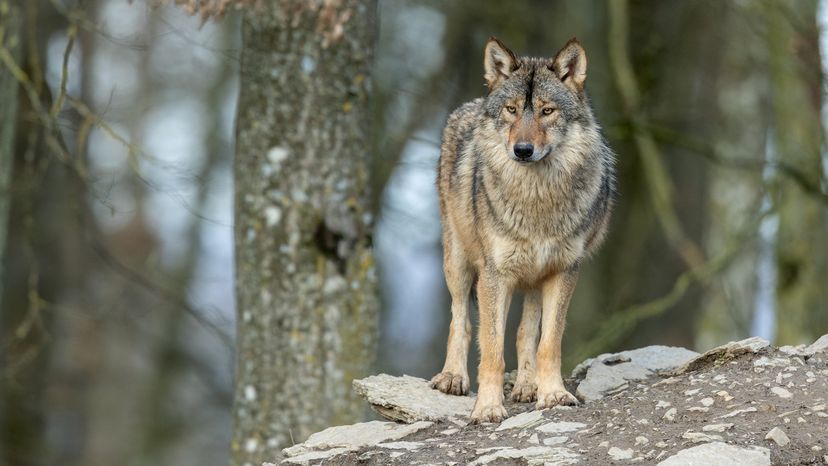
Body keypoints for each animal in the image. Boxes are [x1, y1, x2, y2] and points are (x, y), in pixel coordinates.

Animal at [434, 36, 616, 422]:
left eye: (547, 111)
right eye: (512, 110)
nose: (522, 150)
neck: (537, 201)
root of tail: (469, 105)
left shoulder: (563, 271)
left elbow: (548, 342)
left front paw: (553, 394)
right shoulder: (494, 274)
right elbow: (491, 349)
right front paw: (488, 407)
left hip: (534, 277)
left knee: (524, 331)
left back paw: (528, 386)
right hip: (459, 264)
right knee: (462, 319)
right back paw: (453, 378)